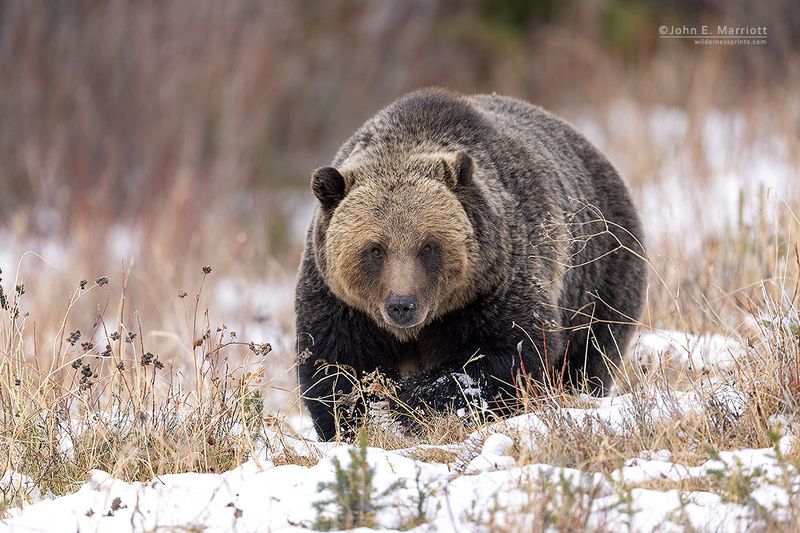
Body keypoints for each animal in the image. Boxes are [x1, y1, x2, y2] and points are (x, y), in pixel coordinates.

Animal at [296, 88, 648, 440]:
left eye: (428, 245)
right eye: (375, 249)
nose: (402, 305)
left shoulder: (496, 284)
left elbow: (506, 354)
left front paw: (409, 403)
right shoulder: (341, 303)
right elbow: (334, 368)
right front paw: (358, 420)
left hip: (599, 278)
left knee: (590, 355)